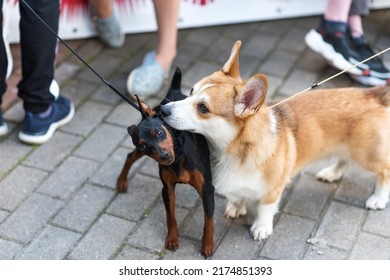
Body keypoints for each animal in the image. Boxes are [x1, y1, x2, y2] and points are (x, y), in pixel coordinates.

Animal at [116, 68, 215, 258]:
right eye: (144, 145)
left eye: (159, 132)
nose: (163, 155)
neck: (179, 154)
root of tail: (173, 93)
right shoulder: (167, 189)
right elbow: (171, 217)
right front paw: (172, 239)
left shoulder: (206, 190)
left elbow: (208, 221)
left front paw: (207, 246)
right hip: (139, 154)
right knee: (129, 156)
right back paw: (121, 182)